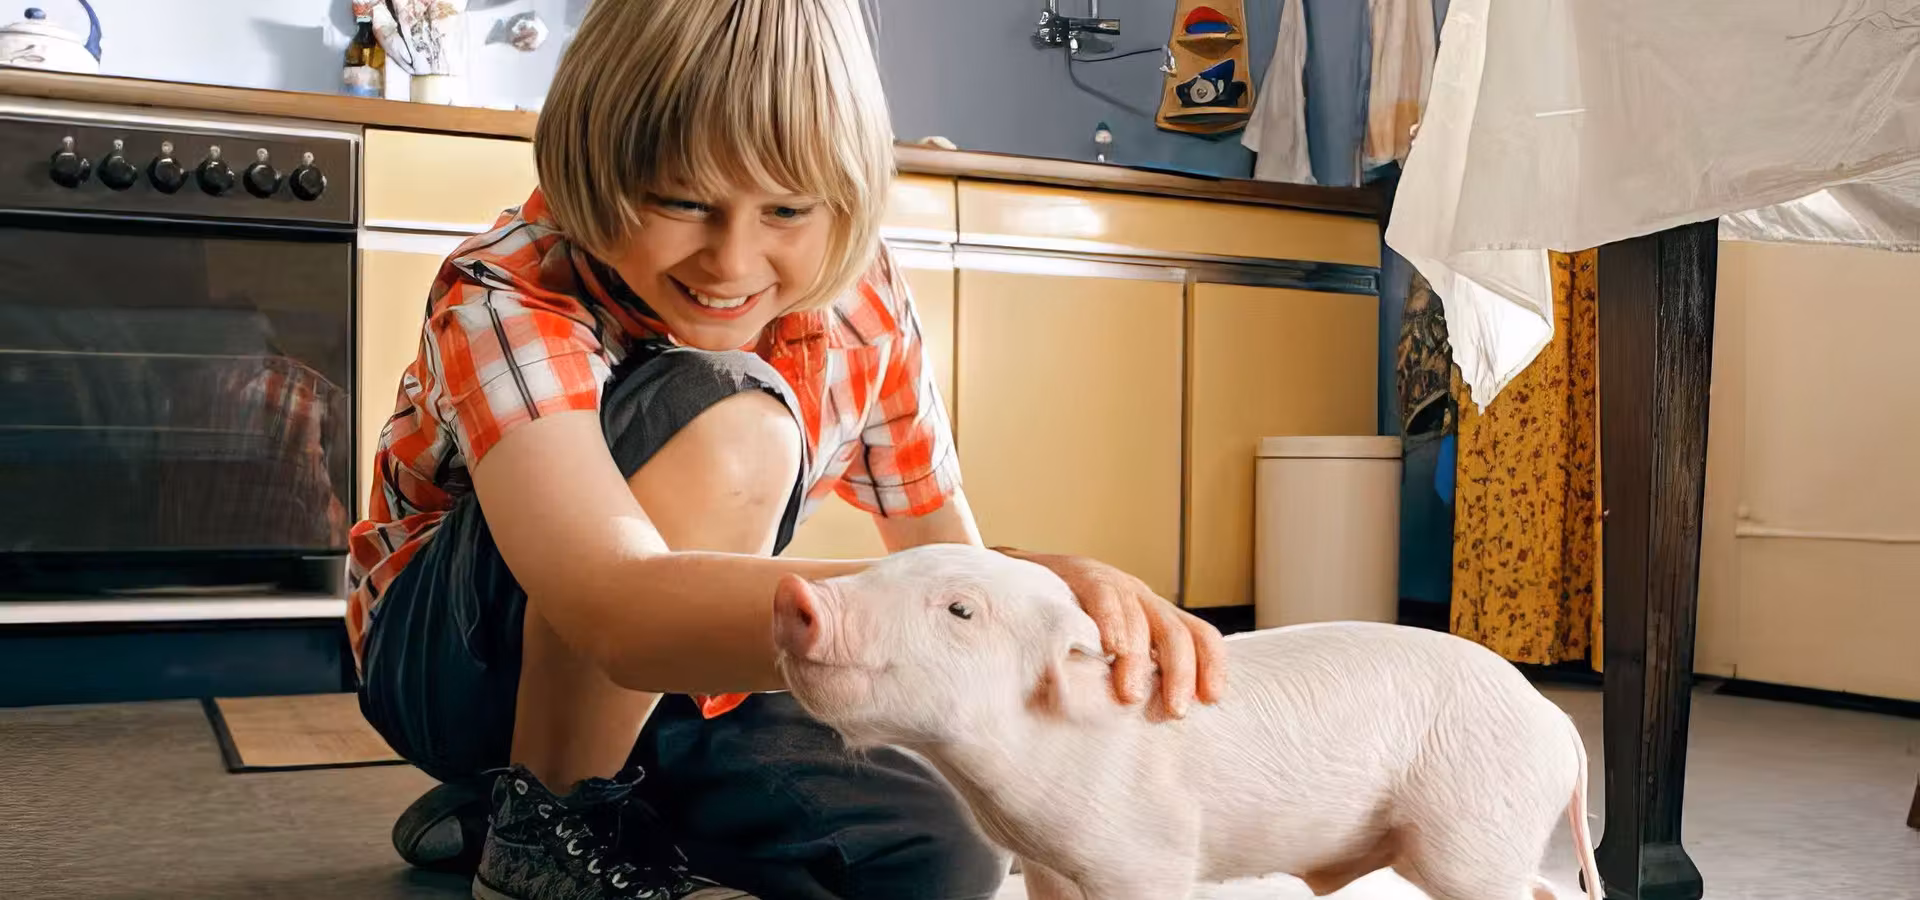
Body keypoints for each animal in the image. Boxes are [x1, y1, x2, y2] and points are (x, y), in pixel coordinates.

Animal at [771, 544, 1603, 900]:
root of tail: (1556, 720)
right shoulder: (1046, 863)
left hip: (1475, 826)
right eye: (884, 568)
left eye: (960, 610)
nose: (793, 592)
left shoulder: (1149, 857)